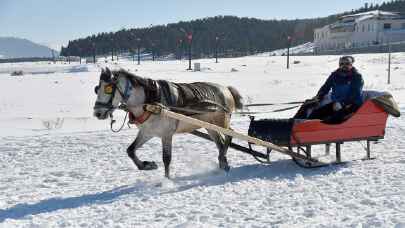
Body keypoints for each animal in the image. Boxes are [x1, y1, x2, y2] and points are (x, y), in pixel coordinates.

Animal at [93, 67, 241, 178]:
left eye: (108, 88)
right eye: (96, 89)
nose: (97, 113)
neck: (149, 102)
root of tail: (226, 89)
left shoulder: (166, 134)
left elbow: (166, 158)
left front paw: (167, 179)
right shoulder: (147, 132)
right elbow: (130, 150)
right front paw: (147, 165)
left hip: (221, 122)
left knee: (229, 135)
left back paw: (222, 160)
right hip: (210, 126)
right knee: (221, 142)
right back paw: (223, 163)